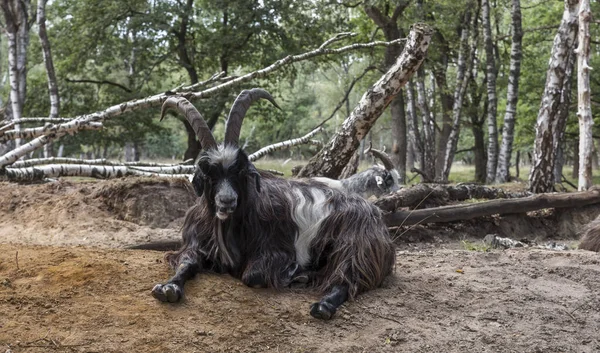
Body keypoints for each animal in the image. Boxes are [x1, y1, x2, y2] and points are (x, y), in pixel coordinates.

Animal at [150, 88, 396, 320]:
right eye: (209, 173)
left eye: (240, 171)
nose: (227, 201)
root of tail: (373, 212)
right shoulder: (196, 242)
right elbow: (186, 262)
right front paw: (169, 288)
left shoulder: (276, 250)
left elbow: (252, 276)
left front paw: (291, 272)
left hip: (357, 245)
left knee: (349, 277)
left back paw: (321, 304)